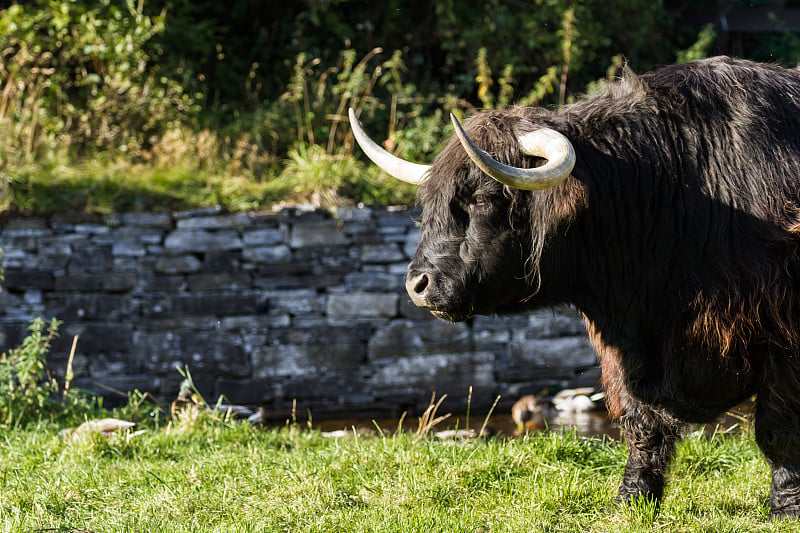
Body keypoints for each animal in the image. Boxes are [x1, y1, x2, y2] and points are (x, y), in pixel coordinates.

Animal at [350, 55, 800, 516]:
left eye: (482, 199)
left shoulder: (783, 338)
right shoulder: (628, 346)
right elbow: (642, 426)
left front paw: (785, 506)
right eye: (430, 205)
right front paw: (631, 498)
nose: (418, 284)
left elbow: (779, 426)